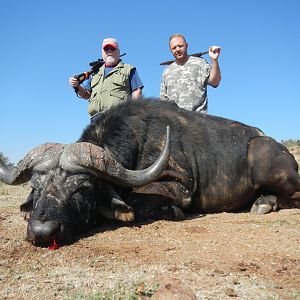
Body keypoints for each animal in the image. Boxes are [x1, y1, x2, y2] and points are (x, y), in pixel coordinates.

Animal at [0, 99, 300, 246]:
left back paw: (264, 202)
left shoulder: (178, 185)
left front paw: (171, 211)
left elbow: (138, 201)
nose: (42, 231)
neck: (137, 139)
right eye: (36, 188)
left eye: (82, 188)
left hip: (268, 161)